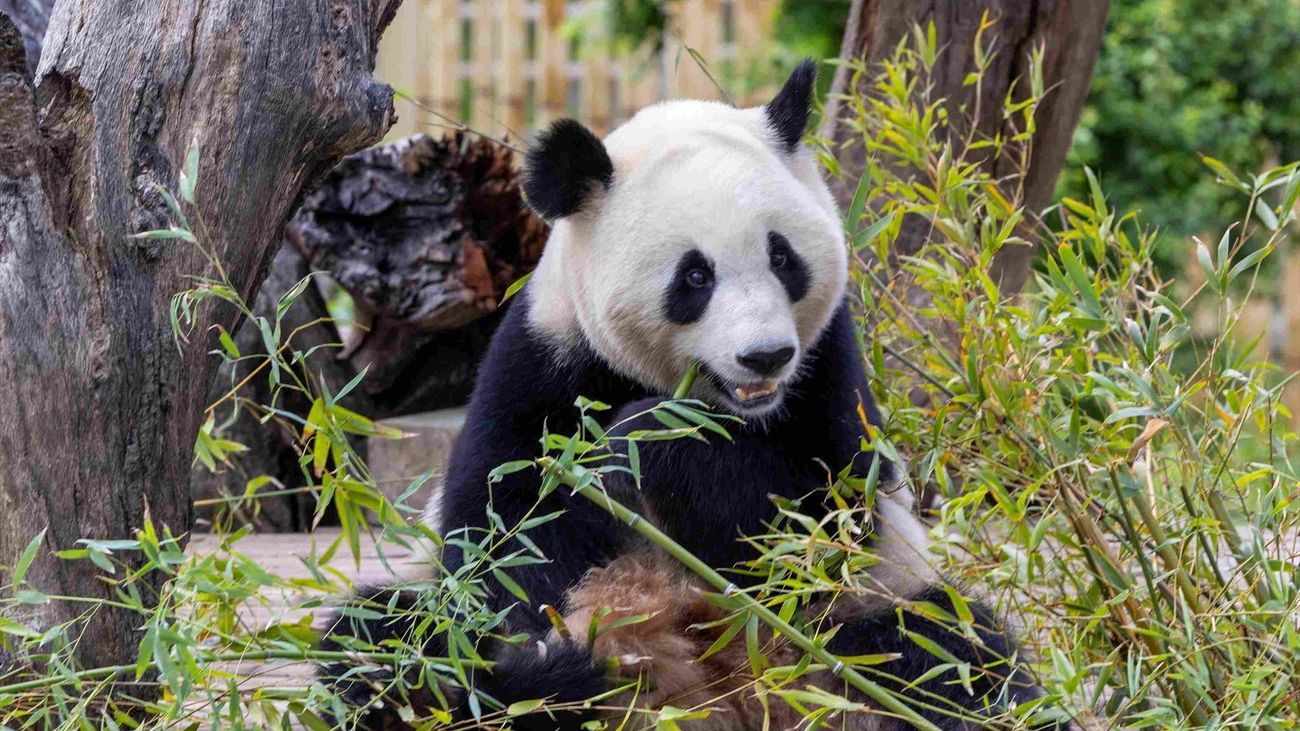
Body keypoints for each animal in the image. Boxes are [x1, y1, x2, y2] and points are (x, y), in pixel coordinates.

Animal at [320, 60, 1057, 731]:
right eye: (694, 276)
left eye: (783, 257)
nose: (766, 355)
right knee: (386, 642)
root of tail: (725, 694)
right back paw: (547, 684)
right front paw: (546, 653)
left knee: (946, 652)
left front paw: (642, 442)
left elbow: (824, 515)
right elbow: (504, 534)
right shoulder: (540, 359)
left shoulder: (828, 364)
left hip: (855, 620)